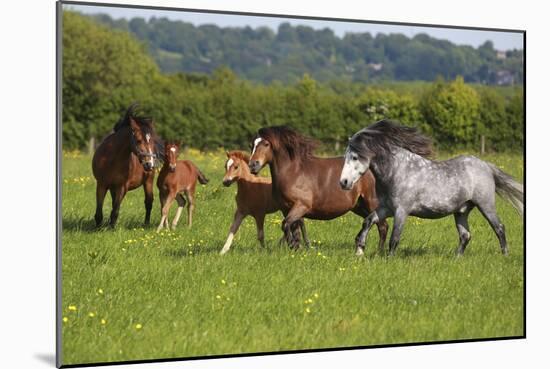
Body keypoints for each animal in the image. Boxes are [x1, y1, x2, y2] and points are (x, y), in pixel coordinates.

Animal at [248, 125, 390, 252]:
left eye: (266, 144)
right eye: (252, 145)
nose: (252, 165)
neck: (293, 172)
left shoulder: (301, 206)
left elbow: (286, 225)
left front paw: (293, 245)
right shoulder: (286, 209)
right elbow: (294, 229)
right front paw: (296, 249)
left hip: (371, 203)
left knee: (382, 226)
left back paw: (377, 252)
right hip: (359, 206)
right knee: (373, 222)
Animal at [340, 118, 528, 256]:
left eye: (355, 157)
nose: (343, 182)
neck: (398, 171)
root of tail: (486, 166)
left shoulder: (401, 210)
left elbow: (395, 238)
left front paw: (388, 259)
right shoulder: (386, 208)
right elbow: (368, 221)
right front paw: (359, 250)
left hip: (486, 205)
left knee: (499, 228)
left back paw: (505, 255)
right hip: (461, 211)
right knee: (465, 235)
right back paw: (456, 258)